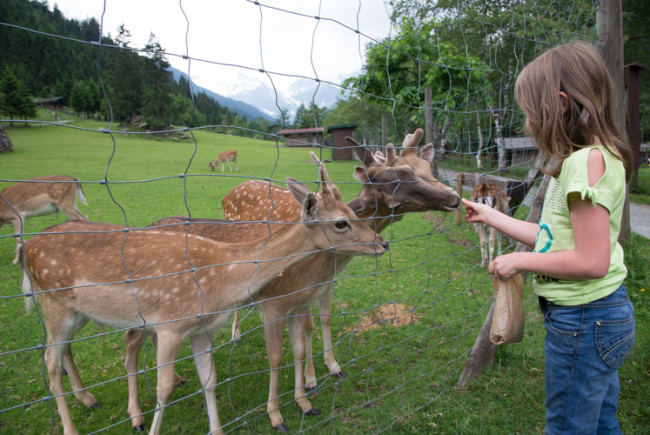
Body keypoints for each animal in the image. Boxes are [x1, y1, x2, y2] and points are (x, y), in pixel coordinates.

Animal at [19, 153, 384, 435]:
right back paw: (94, 422)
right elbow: (164, 389)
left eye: (354, 211)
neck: (223, 275)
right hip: (54, 305)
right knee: (53, 362)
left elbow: (211, 379)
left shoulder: (202, 328)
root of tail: (25, 249)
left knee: (67, 353)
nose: (382, 243)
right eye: (341, 222)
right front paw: (279, 416)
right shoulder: (172, 323)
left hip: (77, 313)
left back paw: (90, 399)